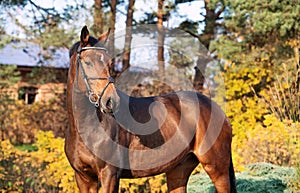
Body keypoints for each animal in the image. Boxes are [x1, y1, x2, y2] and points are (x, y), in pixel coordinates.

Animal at [65, 26, 237, 193]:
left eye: (108, 63)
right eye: (87, 62)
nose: (110, 101)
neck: (88, 129)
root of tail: (218, 110)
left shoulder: (110, 175)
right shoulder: (83, 178)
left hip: (217, 168)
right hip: (179, 169)